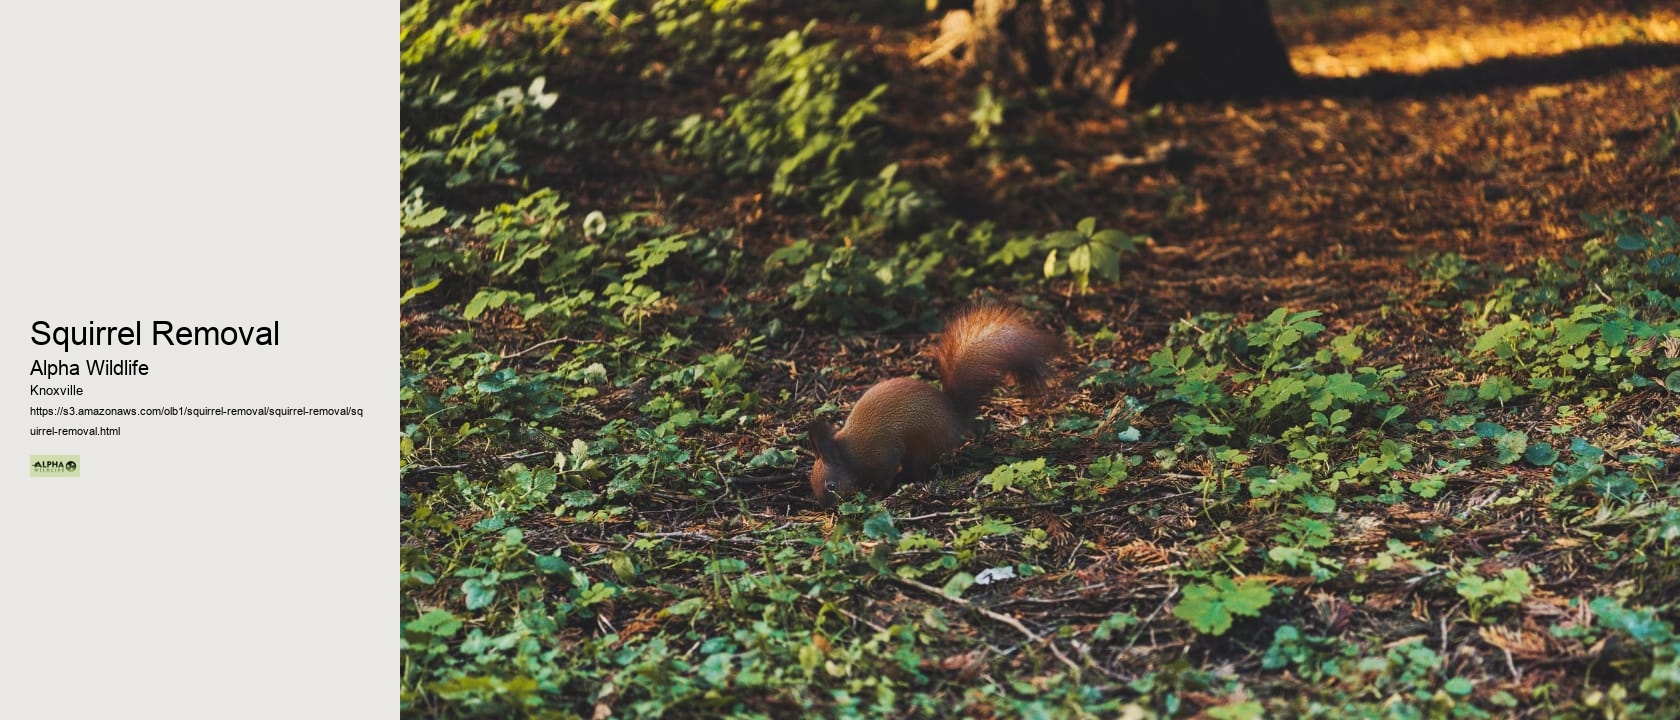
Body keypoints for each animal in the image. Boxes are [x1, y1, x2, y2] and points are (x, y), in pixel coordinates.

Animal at [807, 304, 1058, 505]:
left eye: (831, 485)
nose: (825, 506)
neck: (848, 455)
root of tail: (955, 418)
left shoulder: (882, 457)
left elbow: (886, 477)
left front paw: (875, 495)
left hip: (923, 445)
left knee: (919, 469)